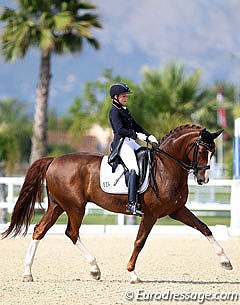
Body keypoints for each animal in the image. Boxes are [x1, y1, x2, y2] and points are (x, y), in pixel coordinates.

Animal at [1, 124, 232, 282]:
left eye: (212, 152)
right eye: (202, 151)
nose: (203, 179)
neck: (167, 167)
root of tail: (54, 160)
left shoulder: (177, 210)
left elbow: (204, 228)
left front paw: (225, 261)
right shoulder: (151, 214)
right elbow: (139, 241)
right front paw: (133, 274)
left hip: (58, 206)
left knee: (39, 230)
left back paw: (28, 273)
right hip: (75, 207)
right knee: (71, 232)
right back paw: (94, 269)